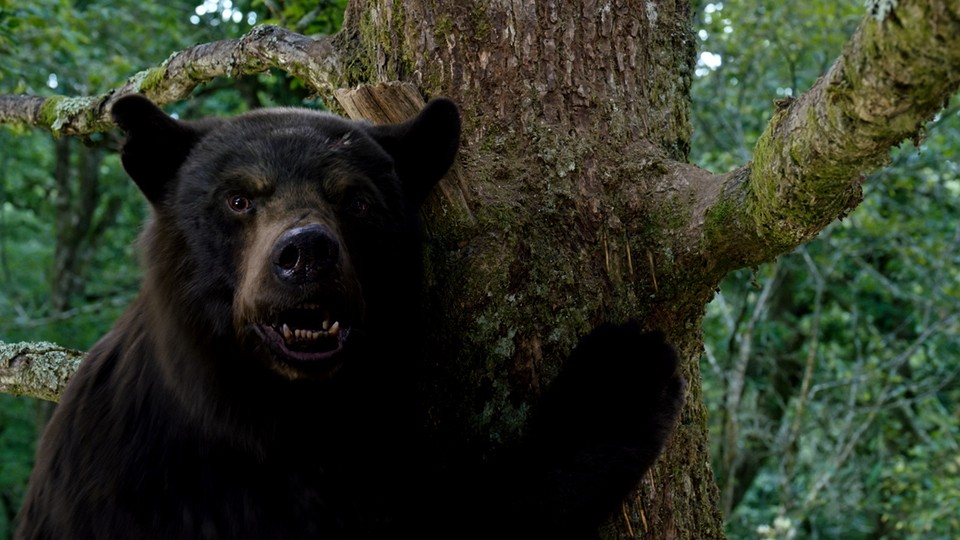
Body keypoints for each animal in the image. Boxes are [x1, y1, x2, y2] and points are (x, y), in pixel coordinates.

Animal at [16, 94, 684, 540]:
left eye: (357, 200)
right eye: (238, 198)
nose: (306, 253)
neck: (275, 415)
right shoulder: (133, 480)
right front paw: (620, 374)